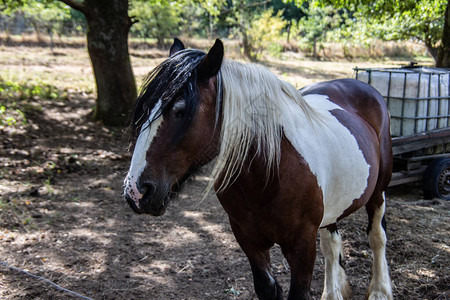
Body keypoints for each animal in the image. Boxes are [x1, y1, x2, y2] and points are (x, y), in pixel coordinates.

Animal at [124, 38, 394, 298]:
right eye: (144, 109)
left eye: (180, 111)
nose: (136, 191)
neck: (269, 174)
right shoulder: (249, 240)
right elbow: (267, 287)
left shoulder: (302, 247)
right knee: (332, 244)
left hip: (378, 193)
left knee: (377, 238)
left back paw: (379, 291)